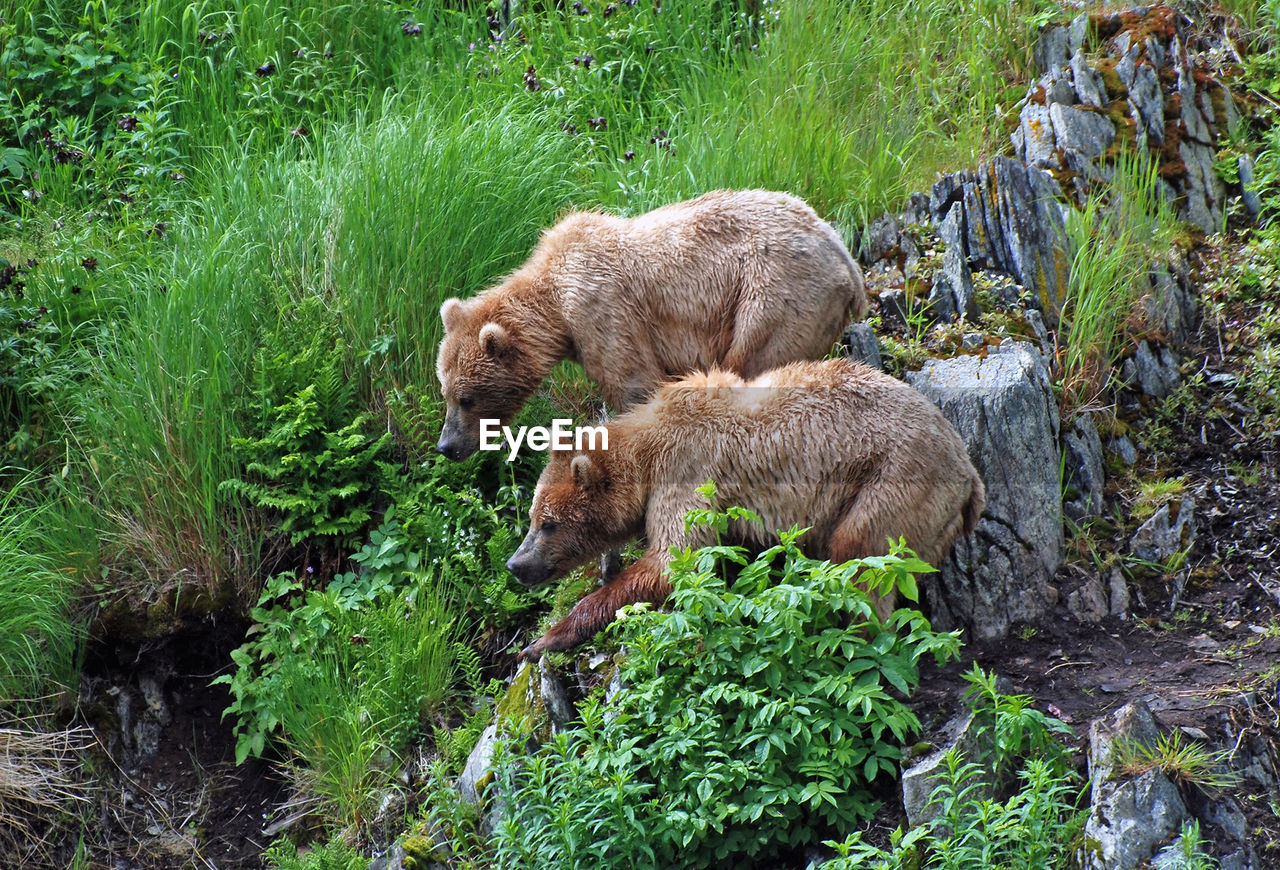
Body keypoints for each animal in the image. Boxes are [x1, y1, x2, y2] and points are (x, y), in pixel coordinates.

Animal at [435, 190, 865, 463]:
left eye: (467, 397)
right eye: (445, 392)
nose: (447, 446)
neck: (555, 306)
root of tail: (844, 255)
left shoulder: (602, 312)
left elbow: (634, 384)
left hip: (773, 297)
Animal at [504, 358, 983, 660]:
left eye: (548, 524)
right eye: (532, 518)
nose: (516, 564)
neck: (646, 453)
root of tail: (969, 473)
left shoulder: (689, 472)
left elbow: (672, 562)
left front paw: (545, 639)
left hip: (892, 479)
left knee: (861, 557)